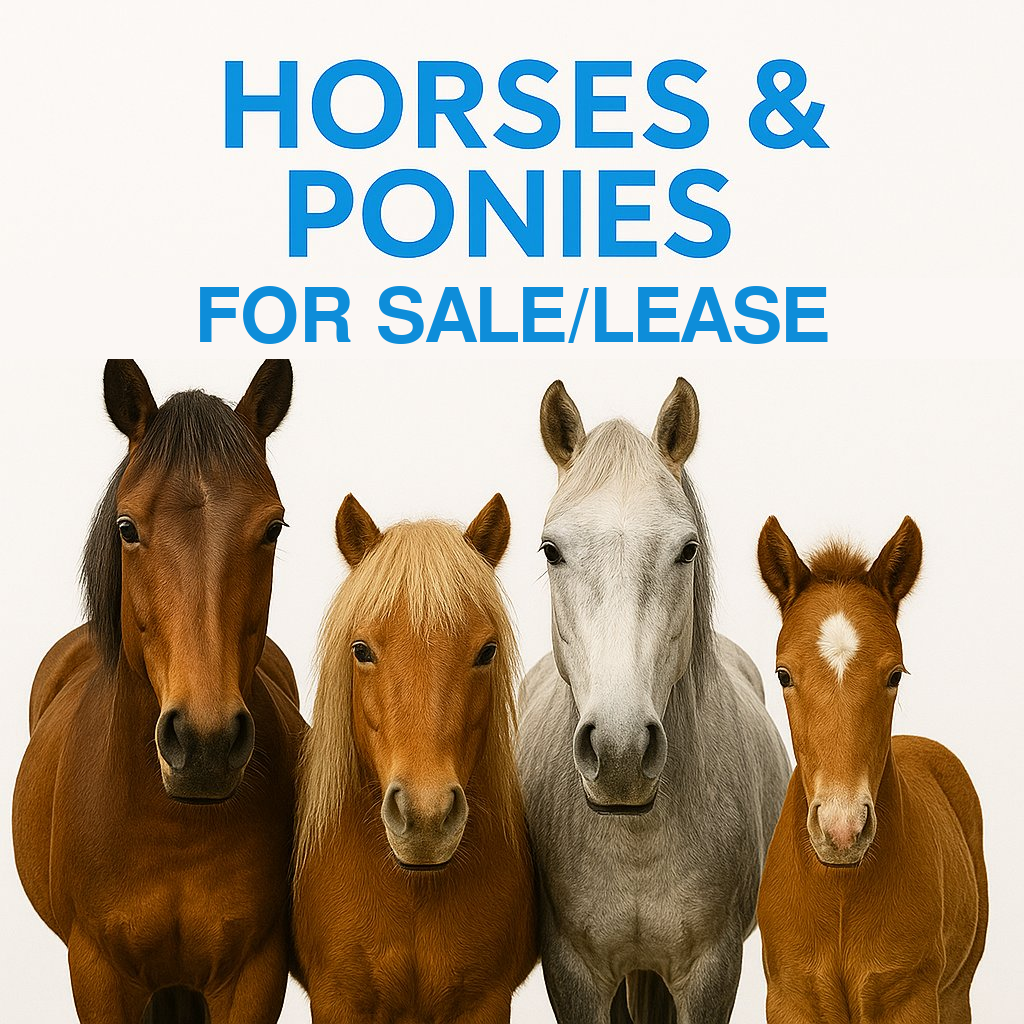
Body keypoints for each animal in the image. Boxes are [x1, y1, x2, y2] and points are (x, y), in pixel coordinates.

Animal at [12, 359, 307, 1023]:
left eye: (274, 528)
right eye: (127, 528)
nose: (205, 743)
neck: (175, 828)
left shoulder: (255, 973)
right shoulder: (97, 971)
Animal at [292, 493, 537, 1023]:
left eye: (486, 651)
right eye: (361, 649)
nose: (425, 818)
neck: (414, 889)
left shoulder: (485, 1001)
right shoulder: (337, 999)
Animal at [756, 516, 987, 1023]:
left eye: (895, 674)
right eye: (783, 674)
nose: (842, 830)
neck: (842, 890)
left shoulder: (911, 1000)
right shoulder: (789, 998)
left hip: (956, 993)